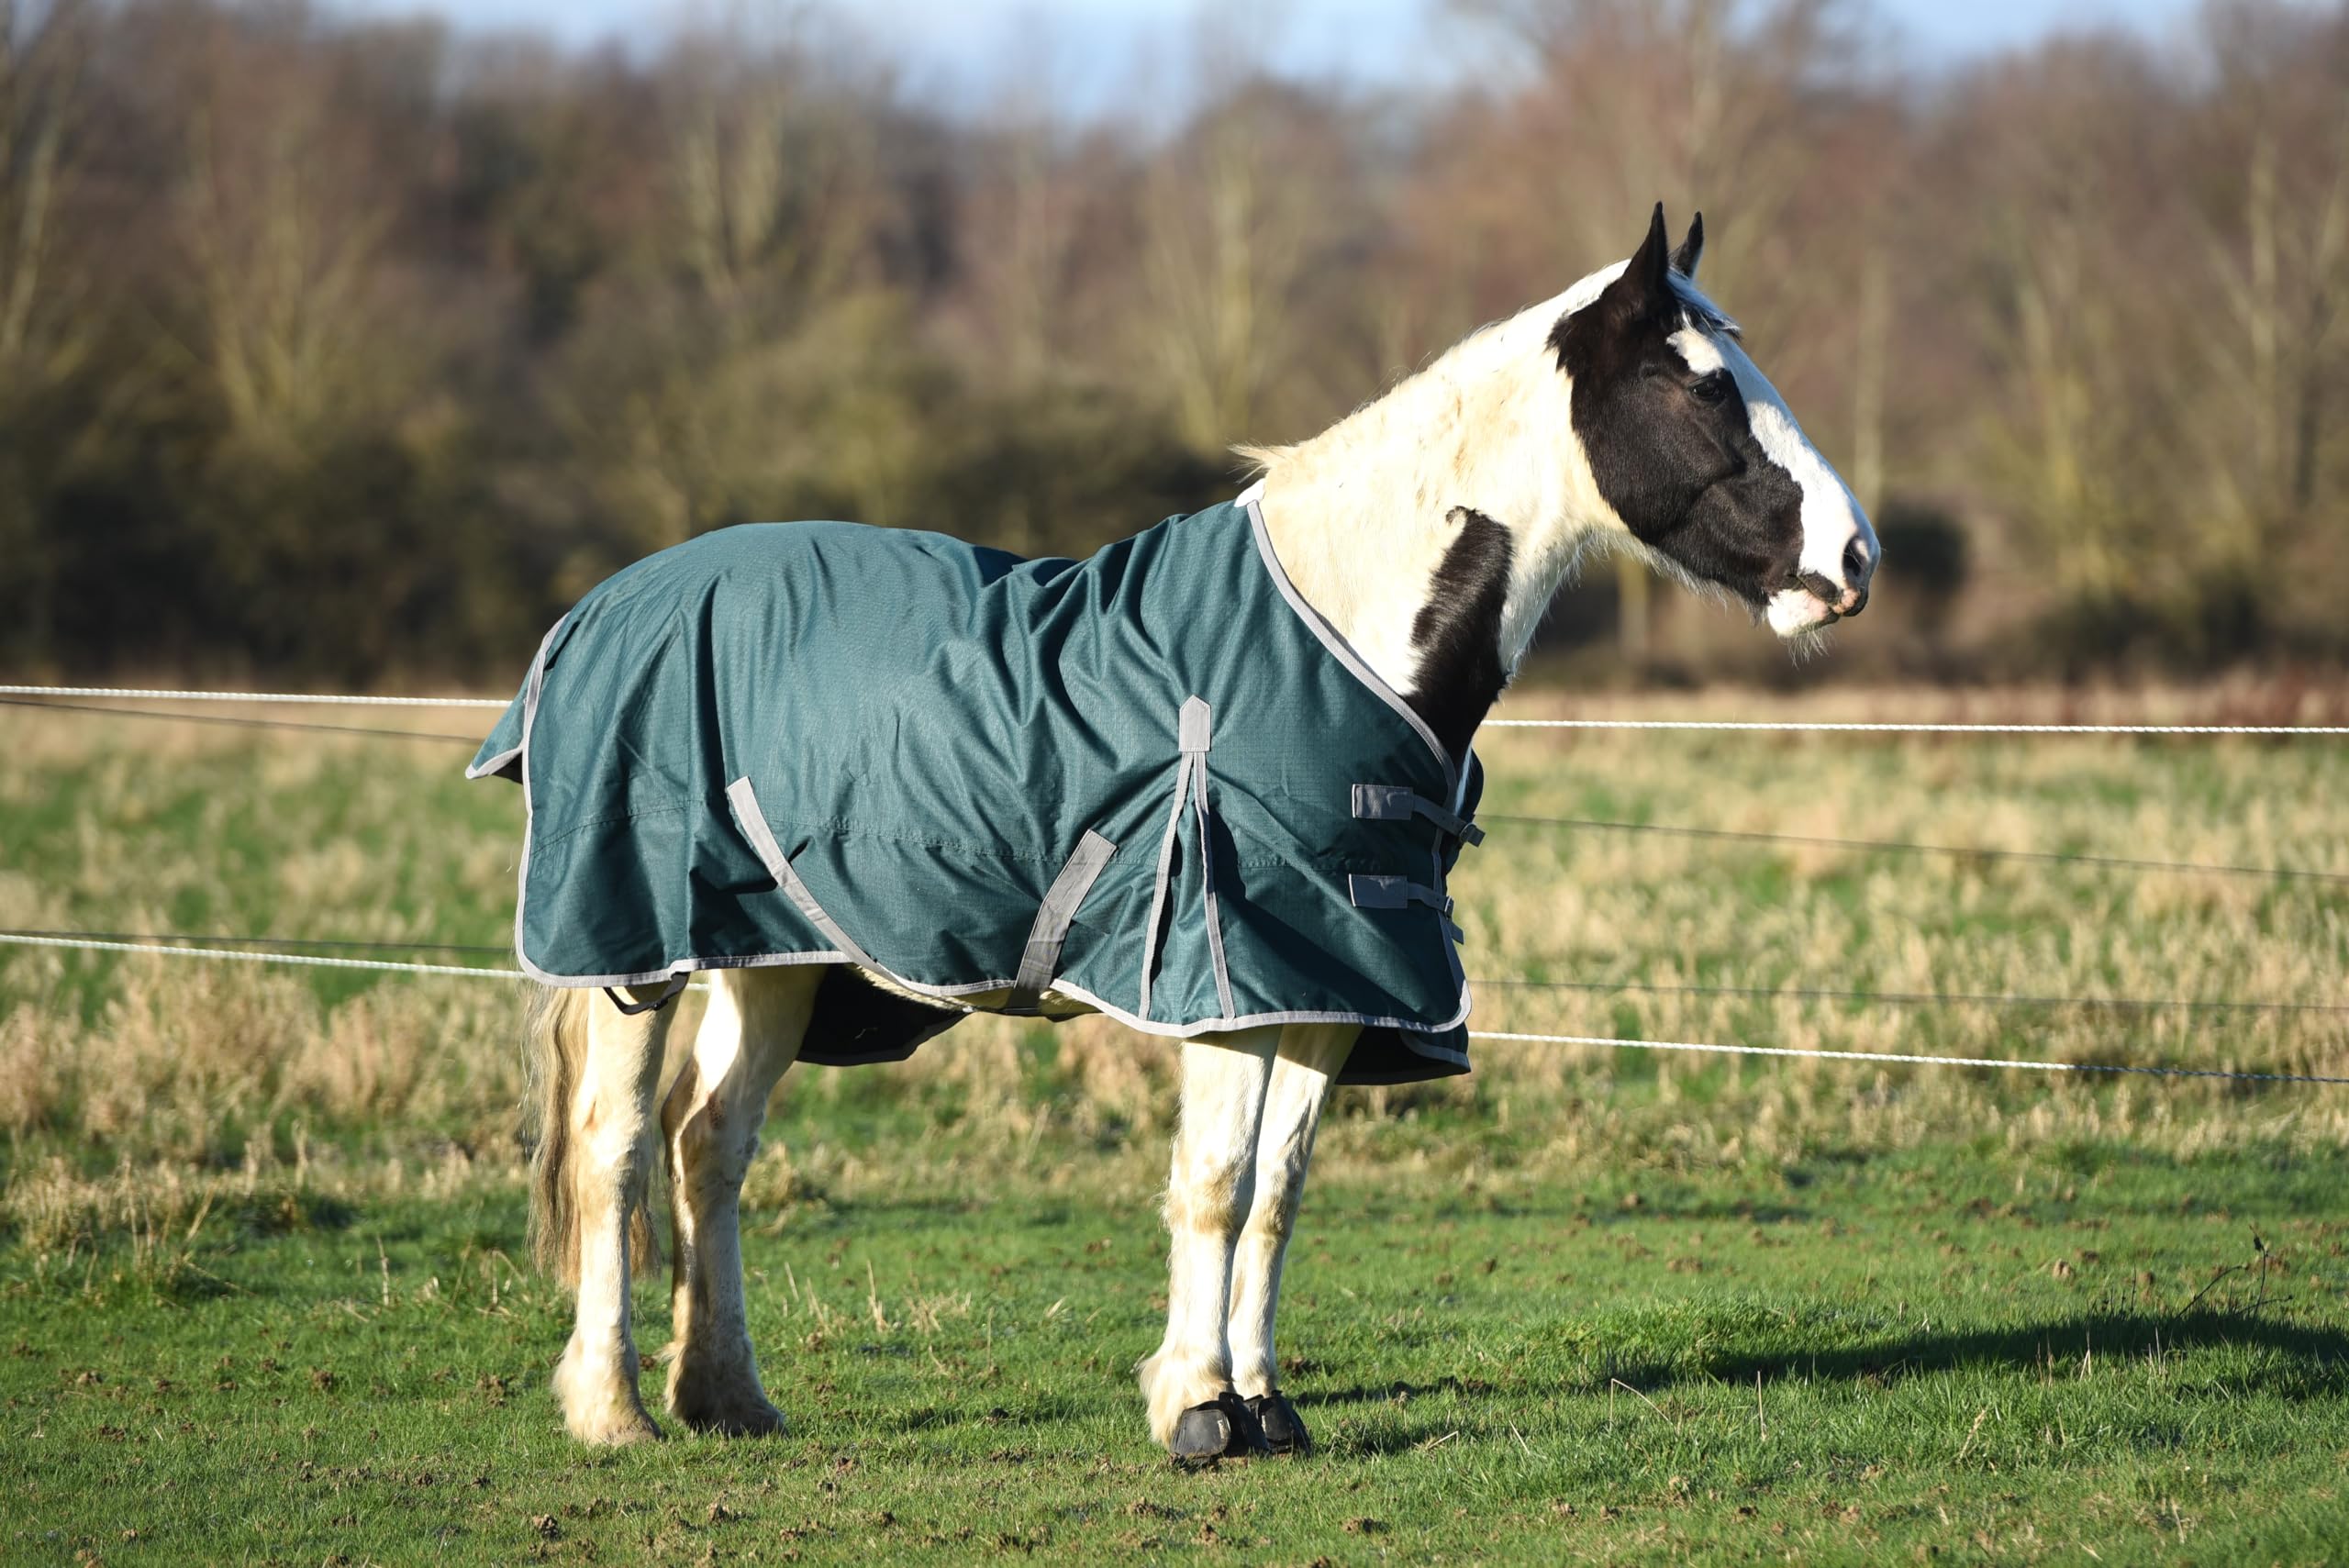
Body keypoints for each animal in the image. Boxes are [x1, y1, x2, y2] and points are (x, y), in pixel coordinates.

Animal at [478, 205, 1878, 1461]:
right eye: (1699, 384)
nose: (1856, 559)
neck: (1337, 632)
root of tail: (602, 606)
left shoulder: (1329, 983)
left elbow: (1277, 1194)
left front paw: (1266, 1406)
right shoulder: (1227, 980)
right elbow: (1213, 1183)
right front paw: (1197, 1409)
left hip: (771, 958)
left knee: (709, 1146)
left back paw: (728, 1399)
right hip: (635, 955)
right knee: (613, 1150)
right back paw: (613, 1412)